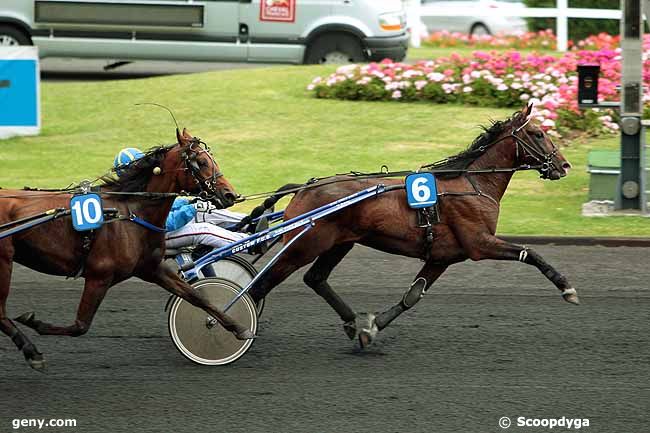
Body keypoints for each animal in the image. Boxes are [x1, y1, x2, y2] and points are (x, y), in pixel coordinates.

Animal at [0, 126, 253, 370]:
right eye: (200, 162)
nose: (230, 194)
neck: (130, 212)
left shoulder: (151, 268)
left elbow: (197, 296)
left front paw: (238, 328)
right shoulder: (99, 276)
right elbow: (80, 325)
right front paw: (35, 323)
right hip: (4, 260)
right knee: (1, 313)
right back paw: (30, 351)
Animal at [249, 105, 576, 348]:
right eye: (538, 133)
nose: (564, 165)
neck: (473, 185)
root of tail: (304, 187)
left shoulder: (443, 257)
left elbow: (413, 295)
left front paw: (371, 329)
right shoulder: (479, 243)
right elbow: (529, 253)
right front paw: (567, 288)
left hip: (339, 243)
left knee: (315, 278)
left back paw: (351, 321)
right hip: (302, 247)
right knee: (262, 286)